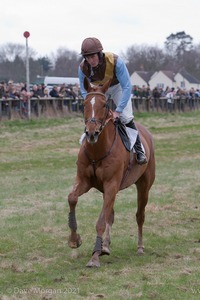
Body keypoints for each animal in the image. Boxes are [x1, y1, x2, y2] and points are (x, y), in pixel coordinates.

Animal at [68, 78, 155, 268]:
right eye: (84, 103)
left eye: (104, 104)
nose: (91, 133)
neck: (97, 151)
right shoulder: (85, 181)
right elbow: (72, 198)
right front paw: (74, 240)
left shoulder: (111, 184)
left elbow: (101, 220)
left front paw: (94, 256)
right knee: (111, 214)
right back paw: (106, 246)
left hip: (144, 185)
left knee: (140, 215)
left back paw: (139, 247)